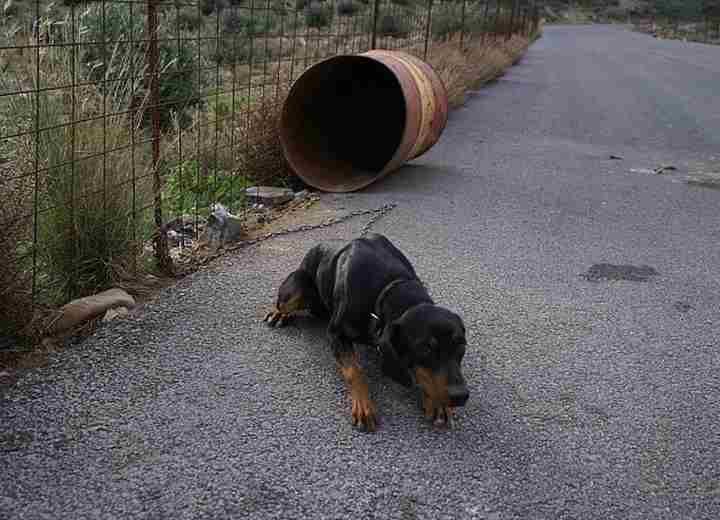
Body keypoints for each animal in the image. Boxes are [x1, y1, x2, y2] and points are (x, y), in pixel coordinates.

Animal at [262, 234, 470, 432]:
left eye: (462, 347)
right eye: (425, 349)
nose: (460, 395)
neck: (389, 287)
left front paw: (437, 405)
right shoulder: (336, 334)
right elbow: (354, 370)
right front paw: (364, 407)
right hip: (297, 286)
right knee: (283, 302)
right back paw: (278, 313)